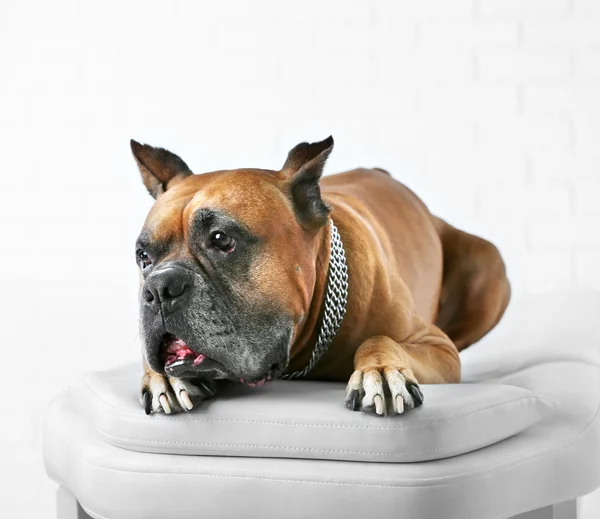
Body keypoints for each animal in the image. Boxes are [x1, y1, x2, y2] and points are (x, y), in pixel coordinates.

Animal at [132, 136, 510, 416]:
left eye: (222, 239)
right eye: (143, 257)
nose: (160, 287)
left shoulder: (439, 348)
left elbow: (381, 339)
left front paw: (382, 372)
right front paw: (161, 378)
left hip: (490, 270)